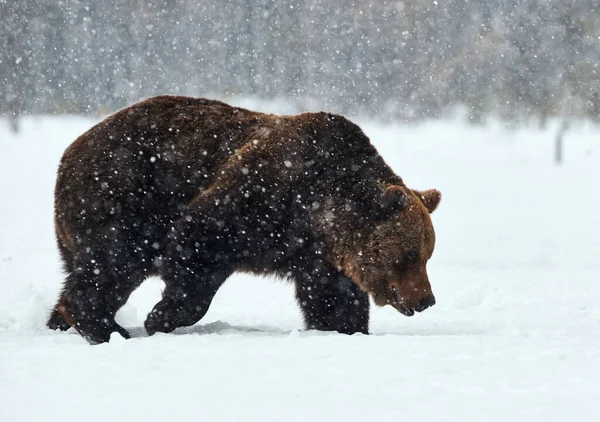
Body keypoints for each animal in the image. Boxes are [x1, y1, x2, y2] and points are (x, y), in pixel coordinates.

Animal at [47, 95, 440, 342]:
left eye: (426, 255)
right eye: (408, 255)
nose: (427, 300)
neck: (319, 213)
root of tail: (70, 151)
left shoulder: (319, 254)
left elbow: (333, 297)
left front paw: (346, 328)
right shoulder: (260, 194)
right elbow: (197, 244)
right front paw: (160, 316)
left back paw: (60, 322)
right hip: (121, 193)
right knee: (112, 262)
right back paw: (106, 328)